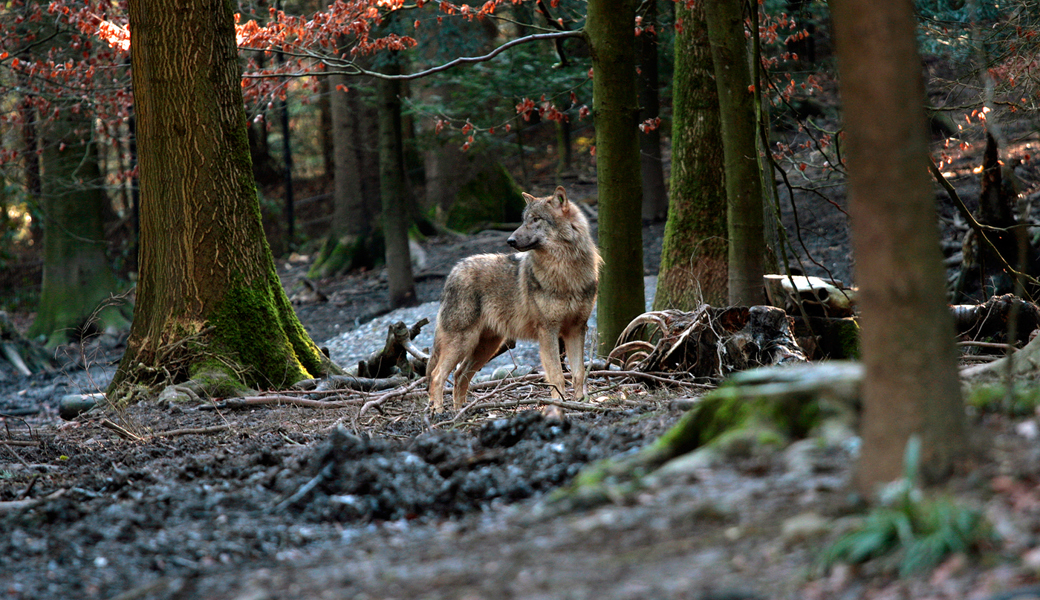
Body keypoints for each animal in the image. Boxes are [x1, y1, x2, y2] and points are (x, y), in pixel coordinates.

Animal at [424, 186, 603, 411]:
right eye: (524, 220)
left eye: (535, 219)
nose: (510, 240)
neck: (564, 271)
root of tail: (454, 270)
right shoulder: (548, 331)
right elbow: (557, 375)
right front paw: (559, 405)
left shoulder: (576, 329)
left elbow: (578, 373)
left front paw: (580, 403)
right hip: (463, 342)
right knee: (437, 375)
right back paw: (439, 411)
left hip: (486, 346)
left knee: (459, 375)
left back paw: (461, 411)